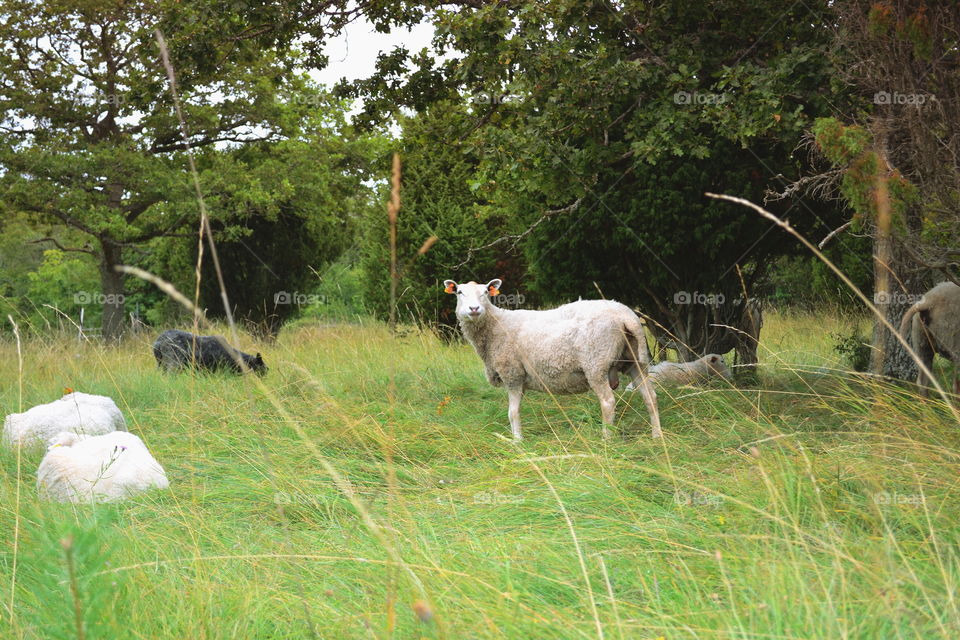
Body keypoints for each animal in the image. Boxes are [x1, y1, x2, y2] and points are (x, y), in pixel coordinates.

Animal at [442, 278, 660, 440]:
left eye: (486, 292)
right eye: (459, 292)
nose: (474, 309)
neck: (495, 326)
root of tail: (626, 316)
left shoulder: (512, 374)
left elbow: (512, 412)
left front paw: (517, 442)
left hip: (596, 363)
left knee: (608, 402)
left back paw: (606, 439)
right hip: (636, 361)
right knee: (650, 397)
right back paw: (657, 436)